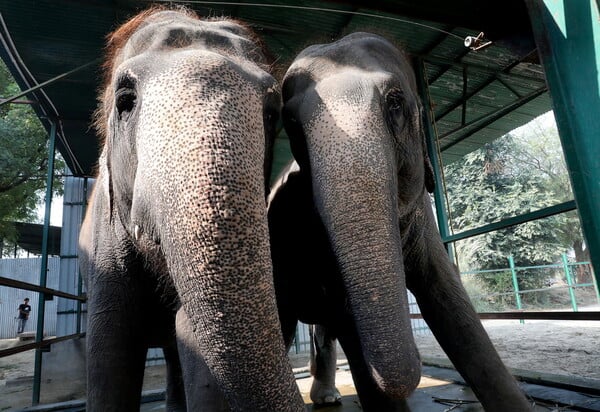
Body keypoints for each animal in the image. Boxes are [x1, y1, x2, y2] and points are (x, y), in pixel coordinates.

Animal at [78, 7, 304, 412]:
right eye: (125, 99)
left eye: (271, 113)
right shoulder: (105, 250)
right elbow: (109, 353)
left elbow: (197, 350)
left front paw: (186, 325)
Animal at [270, 32, 532, 412]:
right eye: (291, 123)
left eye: (394, 102)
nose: (419, 365)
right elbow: (348, 316)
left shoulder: (424, 216)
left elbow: (451, 303)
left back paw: (328, 396)